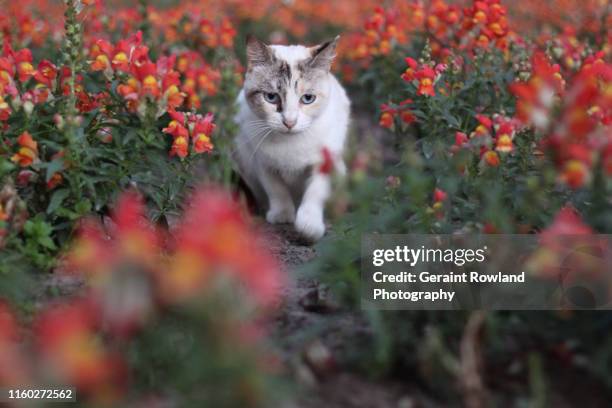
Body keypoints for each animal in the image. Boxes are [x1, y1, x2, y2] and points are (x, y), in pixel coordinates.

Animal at [233, 35, 350, 242]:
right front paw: (282, 215)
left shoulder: (325, 162)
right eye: (271, 97)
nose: (289, 121)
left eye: (308, 98)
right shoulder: (261, 161)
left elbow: (315, 192)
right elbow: (275, 188)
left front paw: (309, 225)